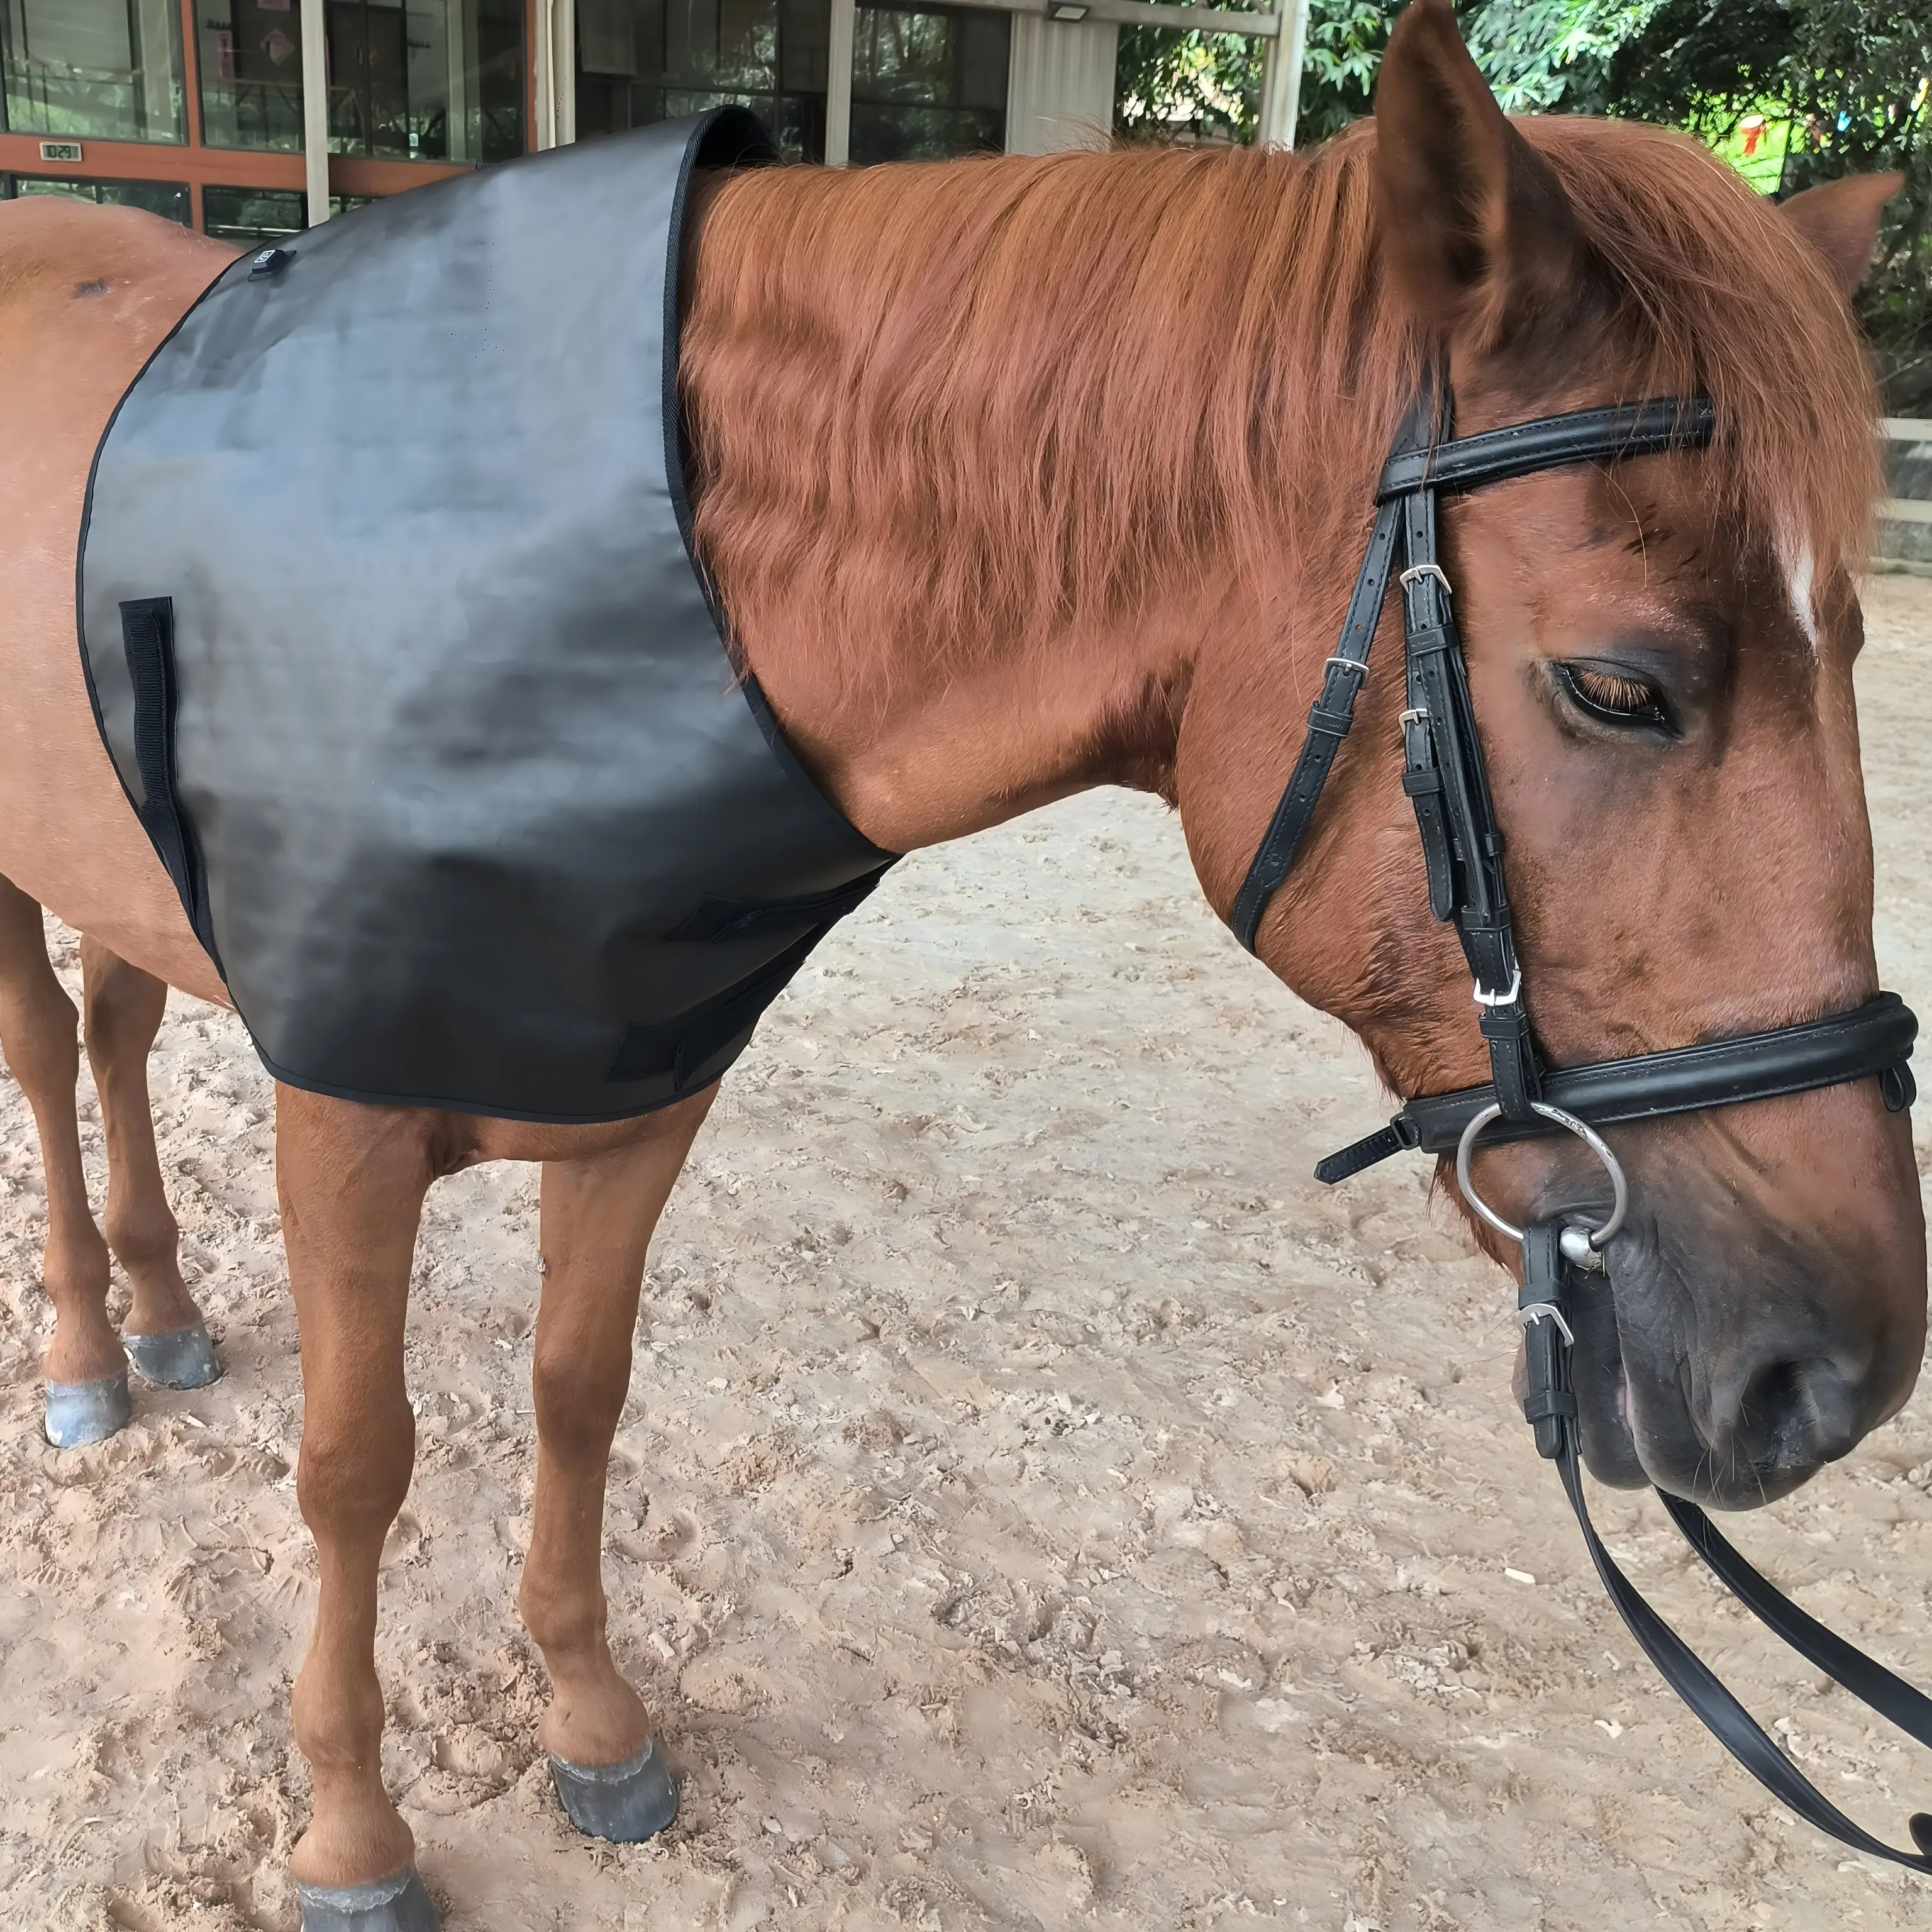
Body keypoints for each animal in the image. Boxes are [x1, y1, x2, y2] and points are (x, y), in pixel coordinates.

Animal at [0, 0, 1918, 1921]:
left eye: (1848, 651)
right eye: (1617, 685)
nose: (1829, 1380)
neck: (534, 605)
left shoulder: (634, 1097)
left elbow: (575, 1399)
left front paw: (594, 1721)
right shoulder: (344, 1112)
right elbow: (354, 1464)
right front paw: (349, 1823)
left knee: (116, 1035)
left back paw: (164, 1312)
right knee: (44, 1057)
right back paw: (91, 1354)